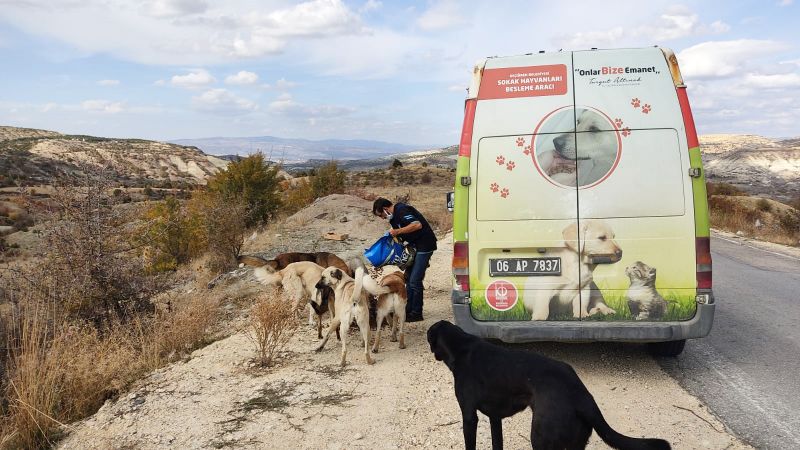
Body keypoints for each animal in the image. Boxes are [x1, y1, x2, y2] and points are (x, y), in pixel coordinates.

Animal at [428, 320, 672, 450]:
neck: (461, 346)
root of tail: (582, 396)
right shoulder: (495, 417)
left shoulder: (469, 416)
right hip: (575, 443)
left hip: (541, 436)